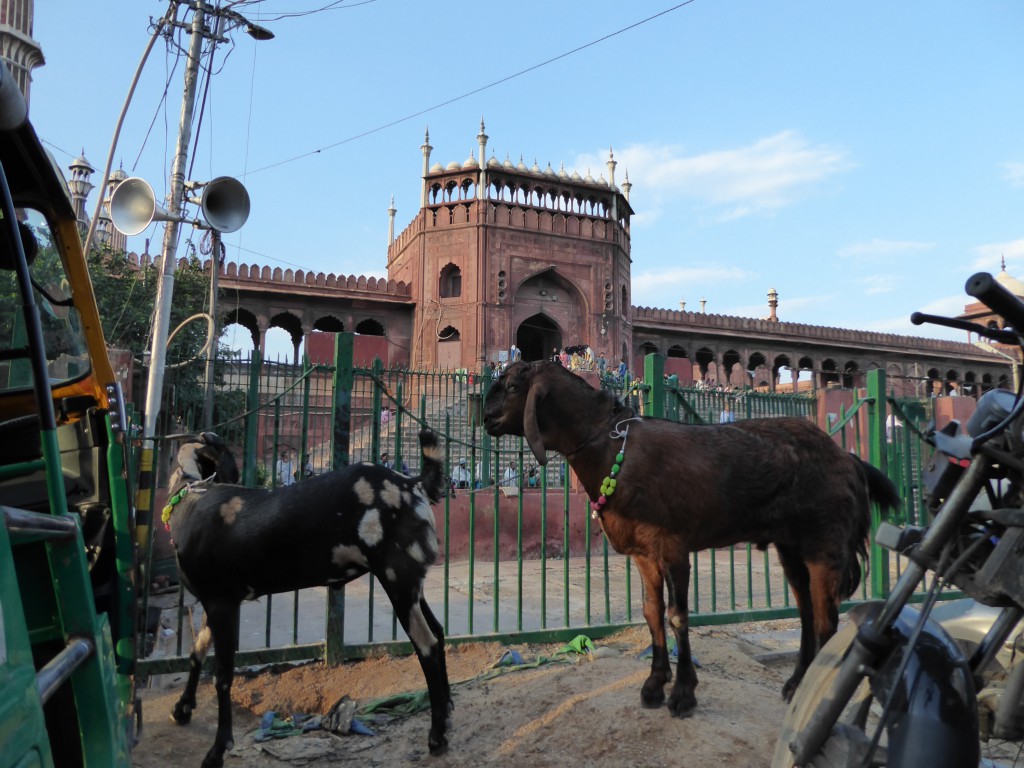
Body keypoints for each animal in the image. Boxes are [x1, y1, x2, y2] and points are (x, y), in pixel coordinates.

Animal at [164, 430, 452, 765]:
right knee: (438, 633)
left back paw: (437, 736)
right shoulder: (215, 602)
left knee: (426, 644)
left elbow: (222, 675)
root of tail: (413, 484)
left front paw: (218, 749)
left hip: (397, 577)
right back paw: (446, 712)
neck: (190, 497)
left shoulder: (222, 602)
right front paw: (182, 708)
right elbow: (196, 651)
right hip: (409, 583)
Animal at [483, 364, 892, 720]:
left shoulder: (673, 547)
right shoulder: (644, 553)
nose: (485, 417)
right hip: (791, 546)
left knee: (825, 619)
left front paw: (682, 694)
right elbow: (651, 611)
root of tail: (849, 458)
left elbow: (677, 614)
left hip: (825, 542)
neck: (616, 449)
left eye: (515, 386)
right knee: (806, 610)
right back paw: (795, 684)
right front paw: (653, 685)